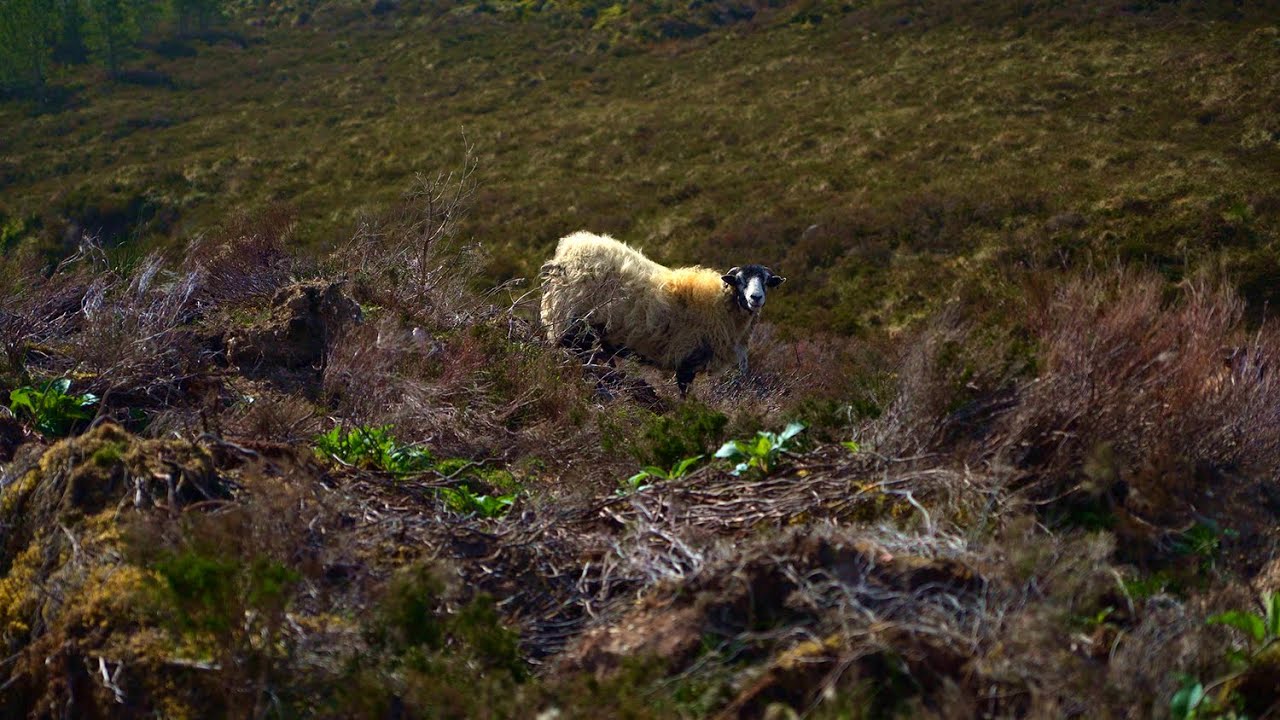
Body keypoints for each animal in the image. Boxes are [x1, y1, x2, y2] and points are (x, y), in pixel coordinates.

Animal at [540, 231, 785, 396]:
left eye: (766, 282)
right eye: (740, 280)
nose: (755, 298)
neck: (721, 306)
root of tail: (567, 253)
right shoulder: (687, 358)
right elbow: (685, 394)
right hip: (574, 321)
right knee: (575, 355)